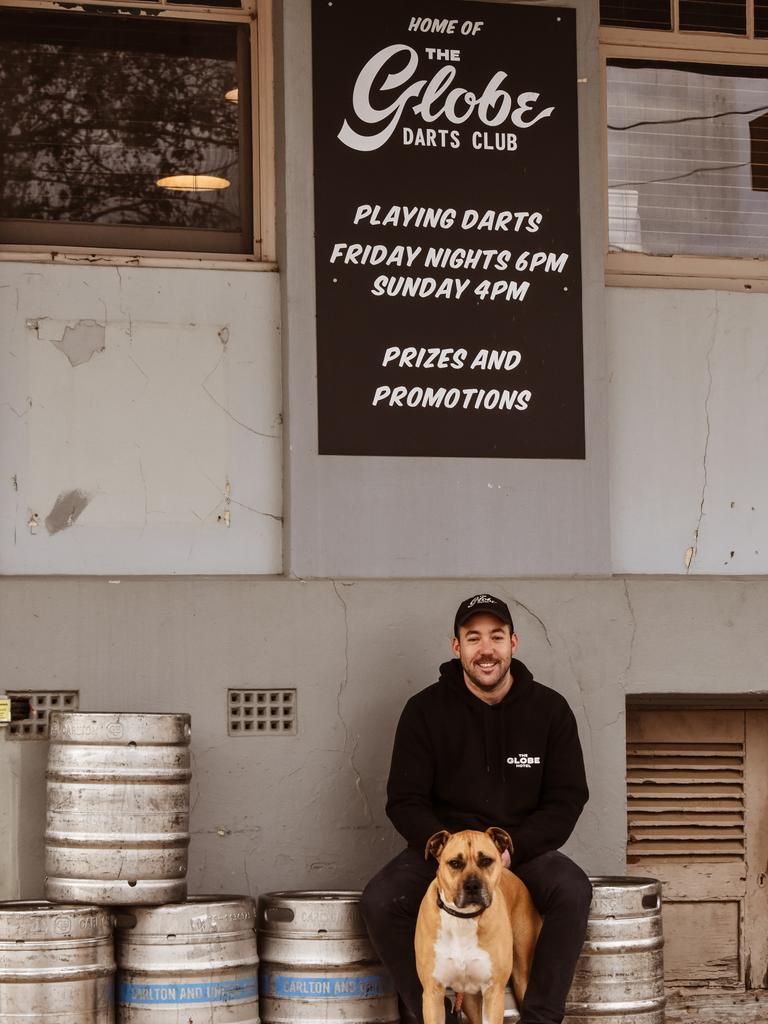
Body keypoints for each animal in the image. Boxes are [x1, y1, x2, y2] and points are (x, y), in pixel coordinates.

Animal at [415, 827, 540, 1024]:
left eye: (486, 861)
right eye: (455, 863)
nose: (472, 886)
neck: (463, 918)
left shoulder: (494, 991)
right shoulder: (432, 993)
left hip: (521, 974)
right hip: (467, 999)